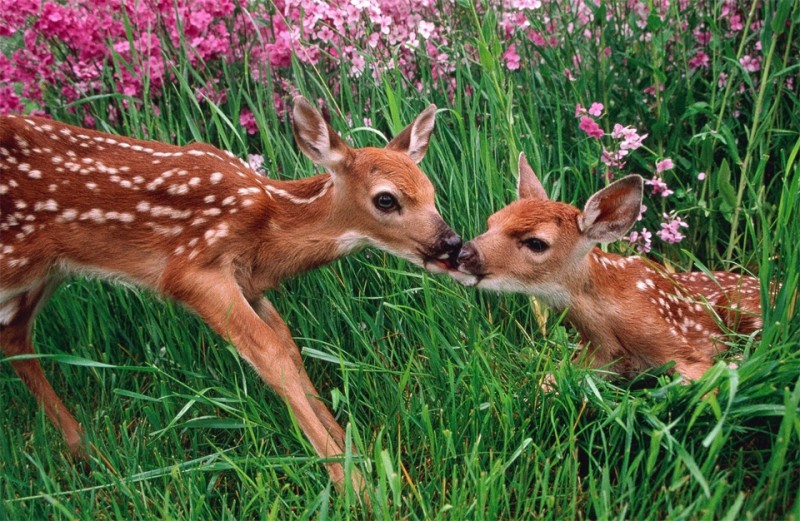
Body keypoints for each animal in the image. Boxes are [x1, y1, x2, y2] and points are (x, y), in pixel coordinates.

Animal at [0, 97, 462, 497]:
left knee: (15, 336)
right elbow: (269, 355)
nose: (452, 244)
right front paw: (357, 488)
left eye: (431, 190)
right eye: (386, 199)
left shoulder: (248, 284)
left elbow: (288, 346)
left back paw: (86, 452)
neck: (266, 228)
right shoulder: (193, 269)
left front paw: (358, 455)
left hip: (43, 271)